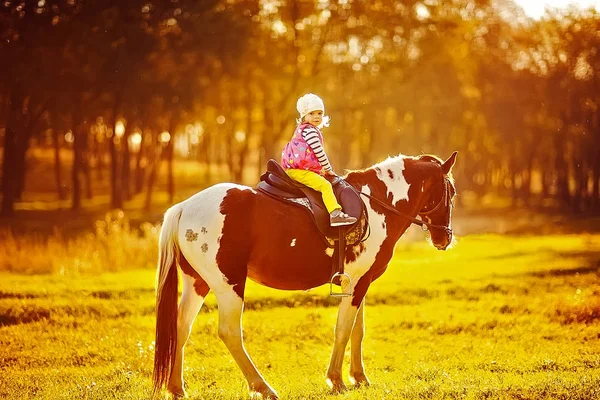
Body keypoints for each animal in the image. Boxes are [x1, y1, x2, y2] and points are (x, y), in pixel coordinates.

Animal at [152, 152, 458, 398]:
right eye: (450, 192)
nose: (445, 238)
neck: (377, 205)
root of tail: (184, 208)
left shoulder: (360, 282)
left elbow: (357, 331)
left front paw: (359, 377)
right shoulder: (357, 282)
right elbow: (343, 330)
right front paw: (336, 380)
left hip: (198, 283)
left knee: (180, 327)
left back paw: (176, 388)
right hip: (230, 285)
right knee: (229, 333)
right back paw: (263, 387)